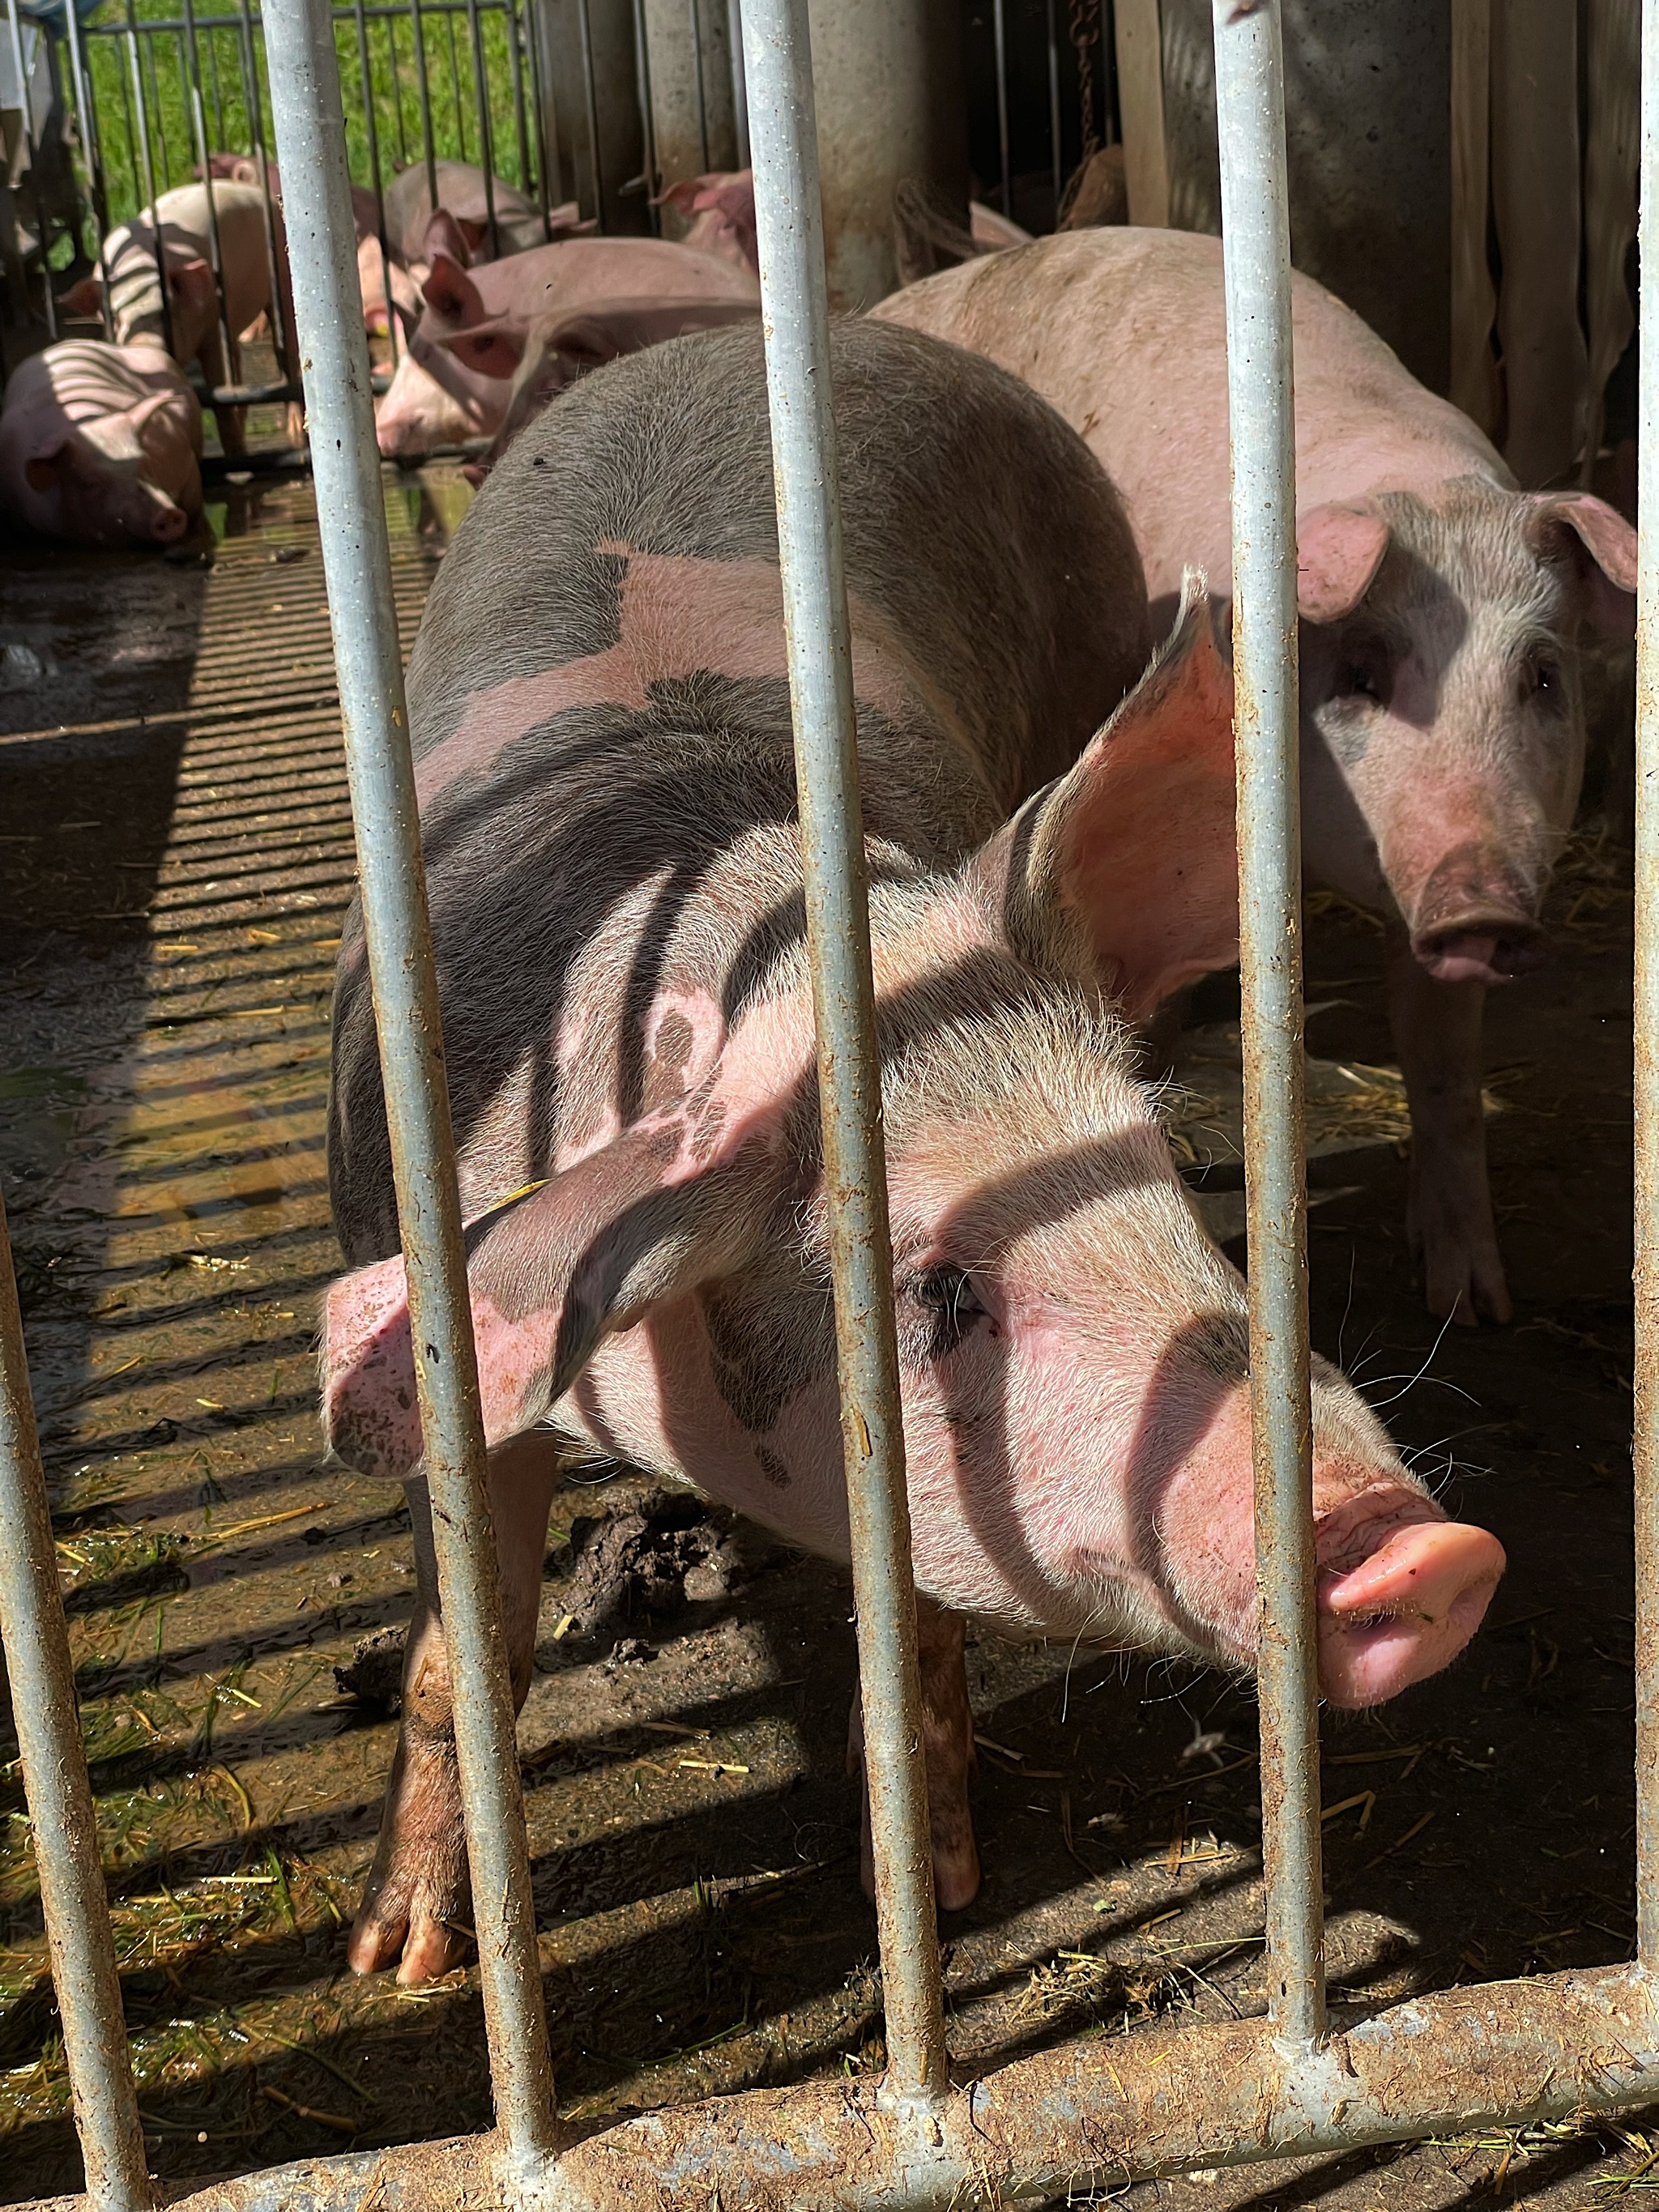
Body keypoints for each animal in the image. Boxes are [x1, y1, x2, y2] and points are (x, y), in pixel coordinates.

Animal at [320, 318, 1505, 1984]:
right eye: (938, 1287)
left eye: (1162, 1183)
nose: (1430, 1552)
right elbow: (459, 1658)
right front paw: (405, 1962)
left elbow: (919, 1649)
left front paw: (938, 1894)